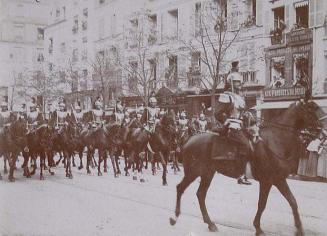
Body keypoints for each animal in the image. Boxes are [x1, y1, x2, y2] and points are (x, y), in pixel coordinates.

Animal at [170, 100, 324, 236]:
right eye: (311, 108)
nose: (324, 131)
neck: (275, 140)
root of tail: (189, 140)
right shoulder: (271, 180)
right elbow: (268, 203)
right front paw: (260, 228)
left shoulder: (274, 180)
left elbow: (288, 201)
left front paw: (297, 229)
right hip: (194, 172)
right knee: (180, 188)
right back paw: (174, 218)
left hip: (208, 173)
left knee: (201, 194)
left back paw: (210, 223)